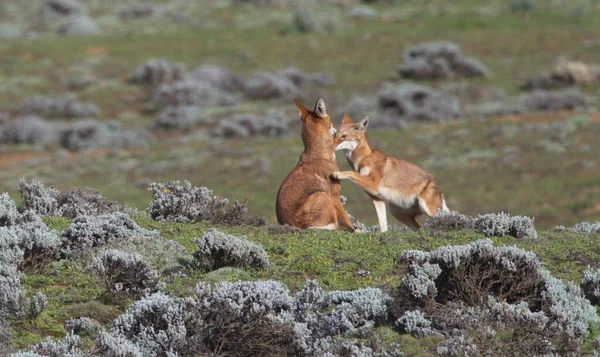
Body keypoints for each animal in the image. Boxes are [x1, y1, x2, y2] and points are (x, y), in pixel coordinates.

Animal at [276, 97, 356, 231]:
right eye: (332, 121)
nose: (337, 131)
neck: (320, 153)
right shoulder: (335, 195)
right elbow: (348, 221)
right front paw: (357, 230)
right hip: (322, 195)